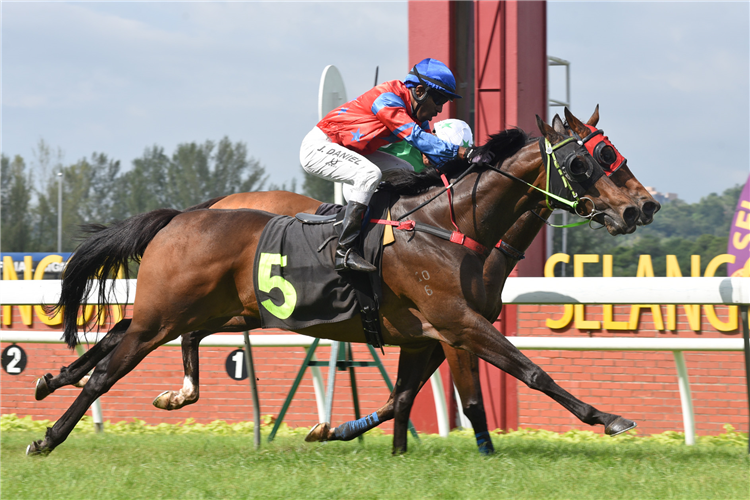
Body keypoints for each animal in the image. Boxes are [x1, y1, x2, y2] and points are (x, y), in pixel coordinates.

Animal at [30, 115, 640, 456]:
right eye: (585, 161)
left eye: (614, 154)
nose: (639, 207)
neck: (445, 226)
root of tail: (181, 215)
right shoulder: (457, 324)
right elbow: (528, 374)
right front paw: (609, 419)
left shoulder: (427, 335)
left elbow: (400, 400)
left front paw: (339, 434)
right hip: (168, 313)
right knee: (109, 369)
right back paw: (48, 436)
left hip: (205, 312)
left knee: (122, 334)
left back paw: (61, 380)